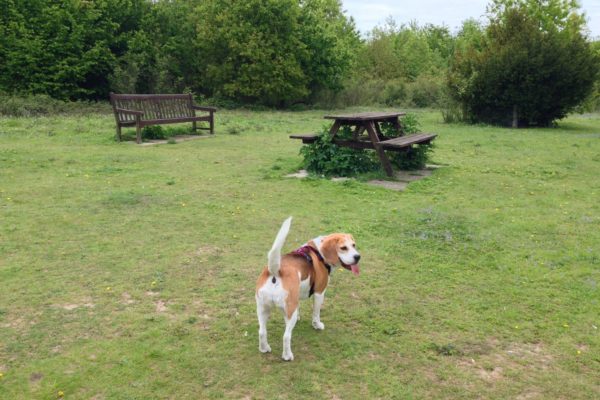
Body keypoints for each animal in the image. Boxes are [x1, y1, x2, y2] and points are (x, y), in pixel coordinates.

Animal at [254, 217, 360, 360]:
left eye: (354, 245)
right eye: (343, 248)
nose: (358, 257)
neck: (319, 252)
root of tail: (275, 271)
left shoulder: (297, 295)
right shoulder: (319, 293)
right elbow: (316, 313)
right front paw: (317, 325)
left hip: (262, 308)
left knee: (261, 331)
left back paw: (264, 348)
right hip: (288, 310)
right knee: (286, 336)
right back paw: (287, 356)